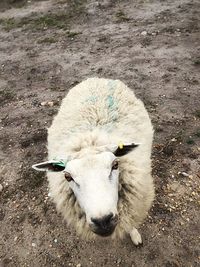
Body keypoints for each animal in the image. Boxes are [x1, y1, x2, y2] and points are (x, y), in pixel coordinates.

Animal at [33, 78, 155, 247]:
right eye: (67, 177)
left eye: (115, 165)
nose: (103, 221)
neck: (89, 142)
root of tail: (97, 78)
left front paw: (135, 234)